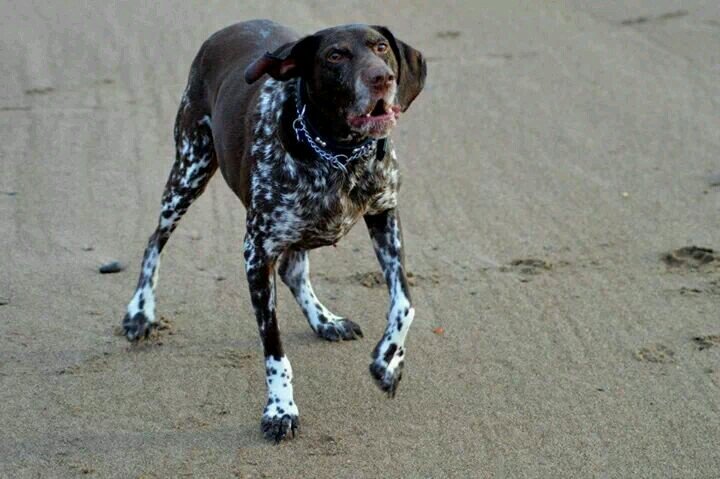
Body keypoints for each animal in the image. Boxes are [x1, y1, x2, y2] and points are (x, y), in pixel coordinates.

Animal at [122, 21, 428, 442]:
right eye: (335, 55)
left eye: (381, 47)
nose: (383, 78)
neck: (339, 156)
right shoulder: (256, 254)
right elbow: (274, 350)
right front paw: (281, 408)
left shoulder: (384, 216)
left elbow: (404, 303)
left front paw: (389, 363)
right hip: (188, 172)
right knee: (155, 241)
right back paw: (140, 312)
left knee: (294, 270)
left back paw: (325, 320)